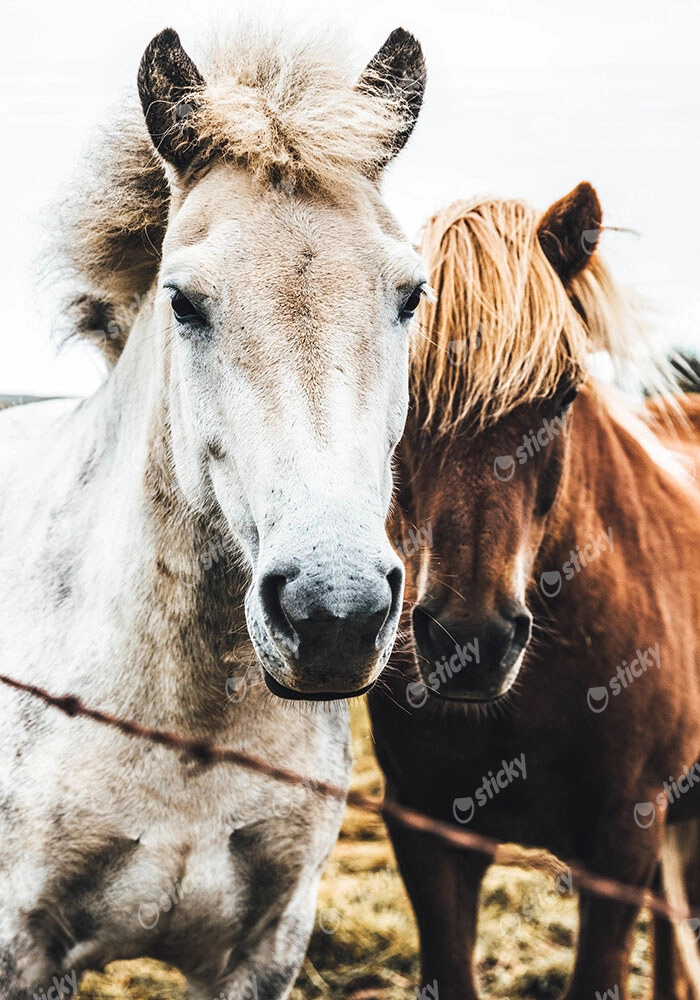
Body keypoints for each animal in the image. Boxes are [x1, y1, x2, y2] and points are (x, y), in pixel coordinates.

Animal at [0, 23, 428, 999]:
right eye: (183, 301)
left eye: (410, 295)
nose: (333, 614)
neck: (189, 733)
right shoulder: (22, 947)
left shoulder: (265, 948)